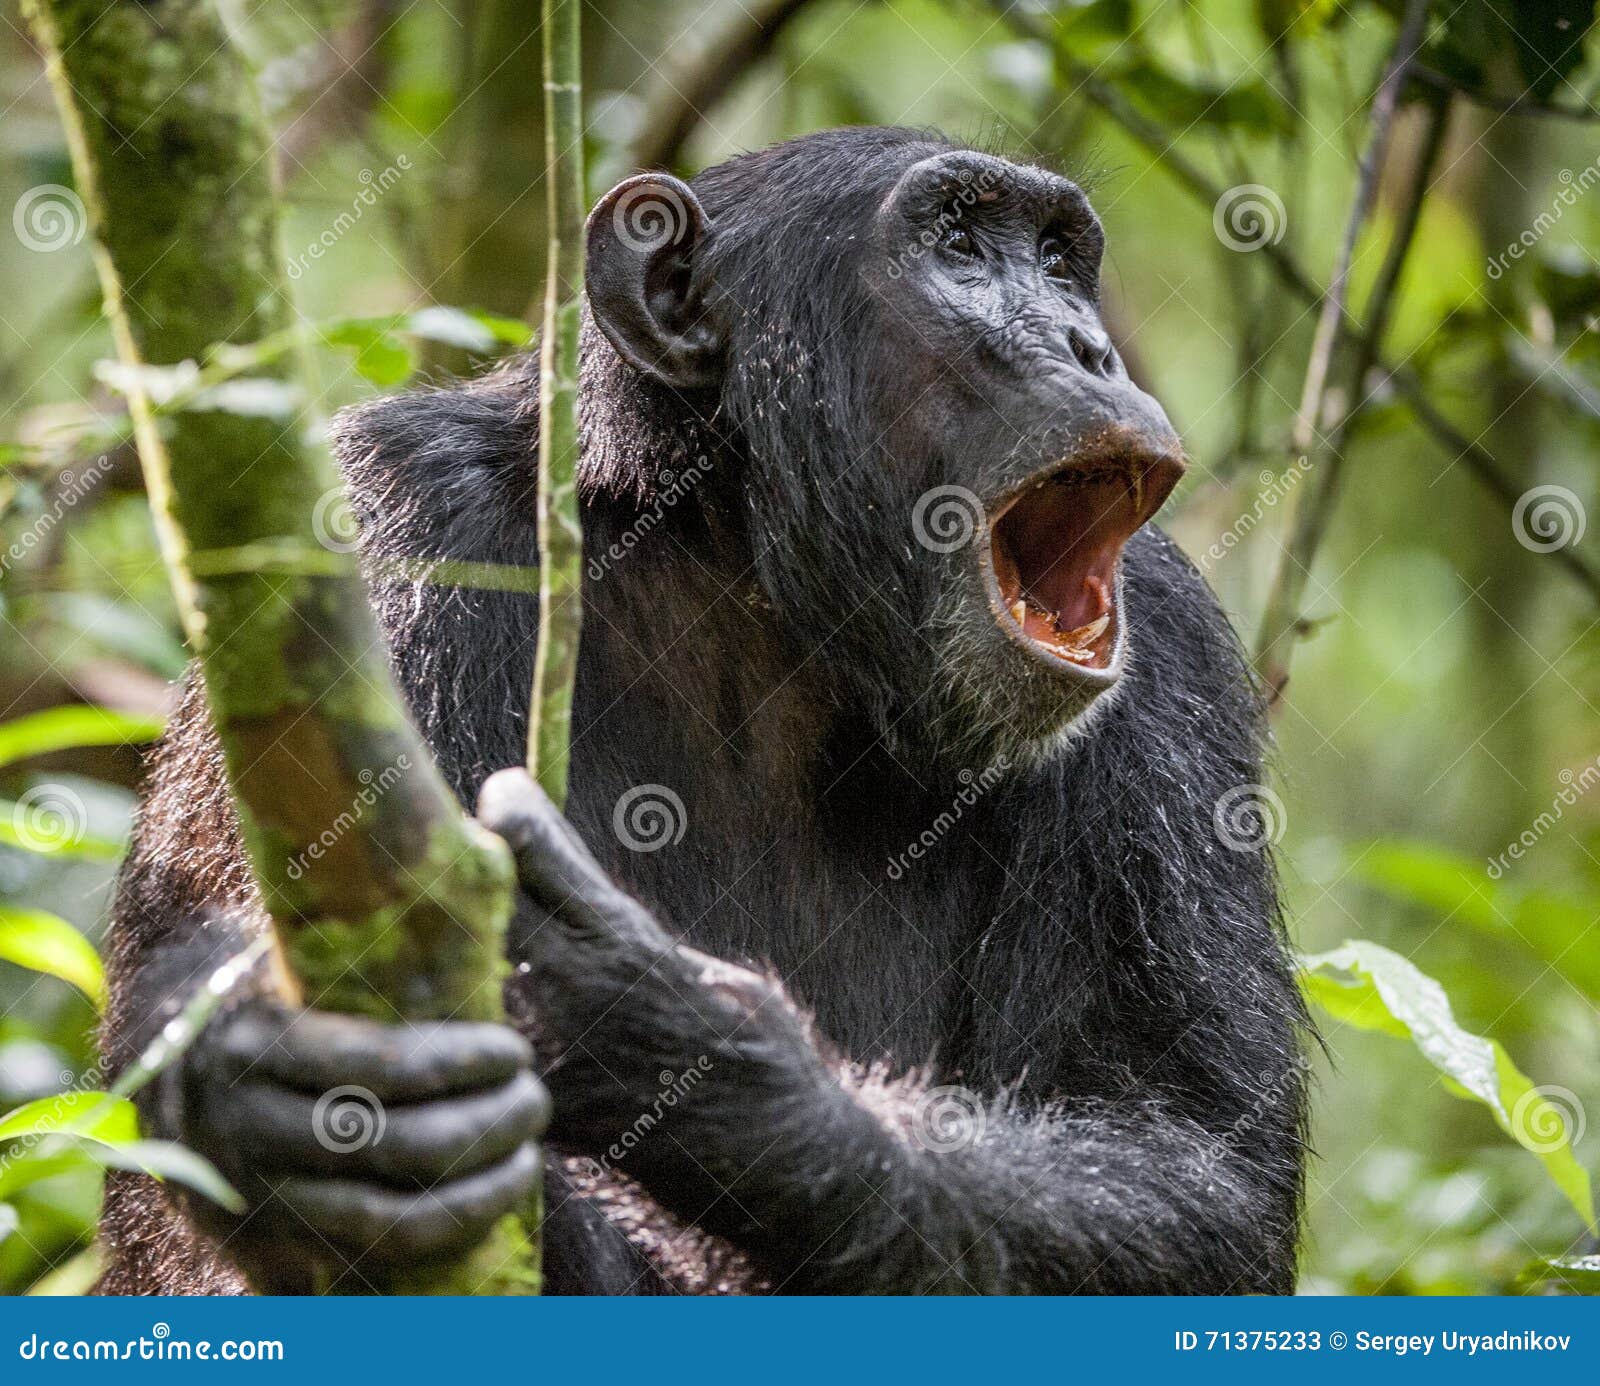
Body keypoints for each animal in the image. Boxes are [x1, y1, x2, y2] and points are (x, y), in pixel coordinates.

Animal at [93, 124, 1305, 1293]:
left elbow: (1199, 1163)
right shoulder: (391, 521)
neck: (748, 585)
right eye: (959, 247)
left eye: (1057, 261)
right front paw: (247, 1085)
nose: (1087, 344)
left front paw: (682, 1035)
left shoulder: (1171, 658)